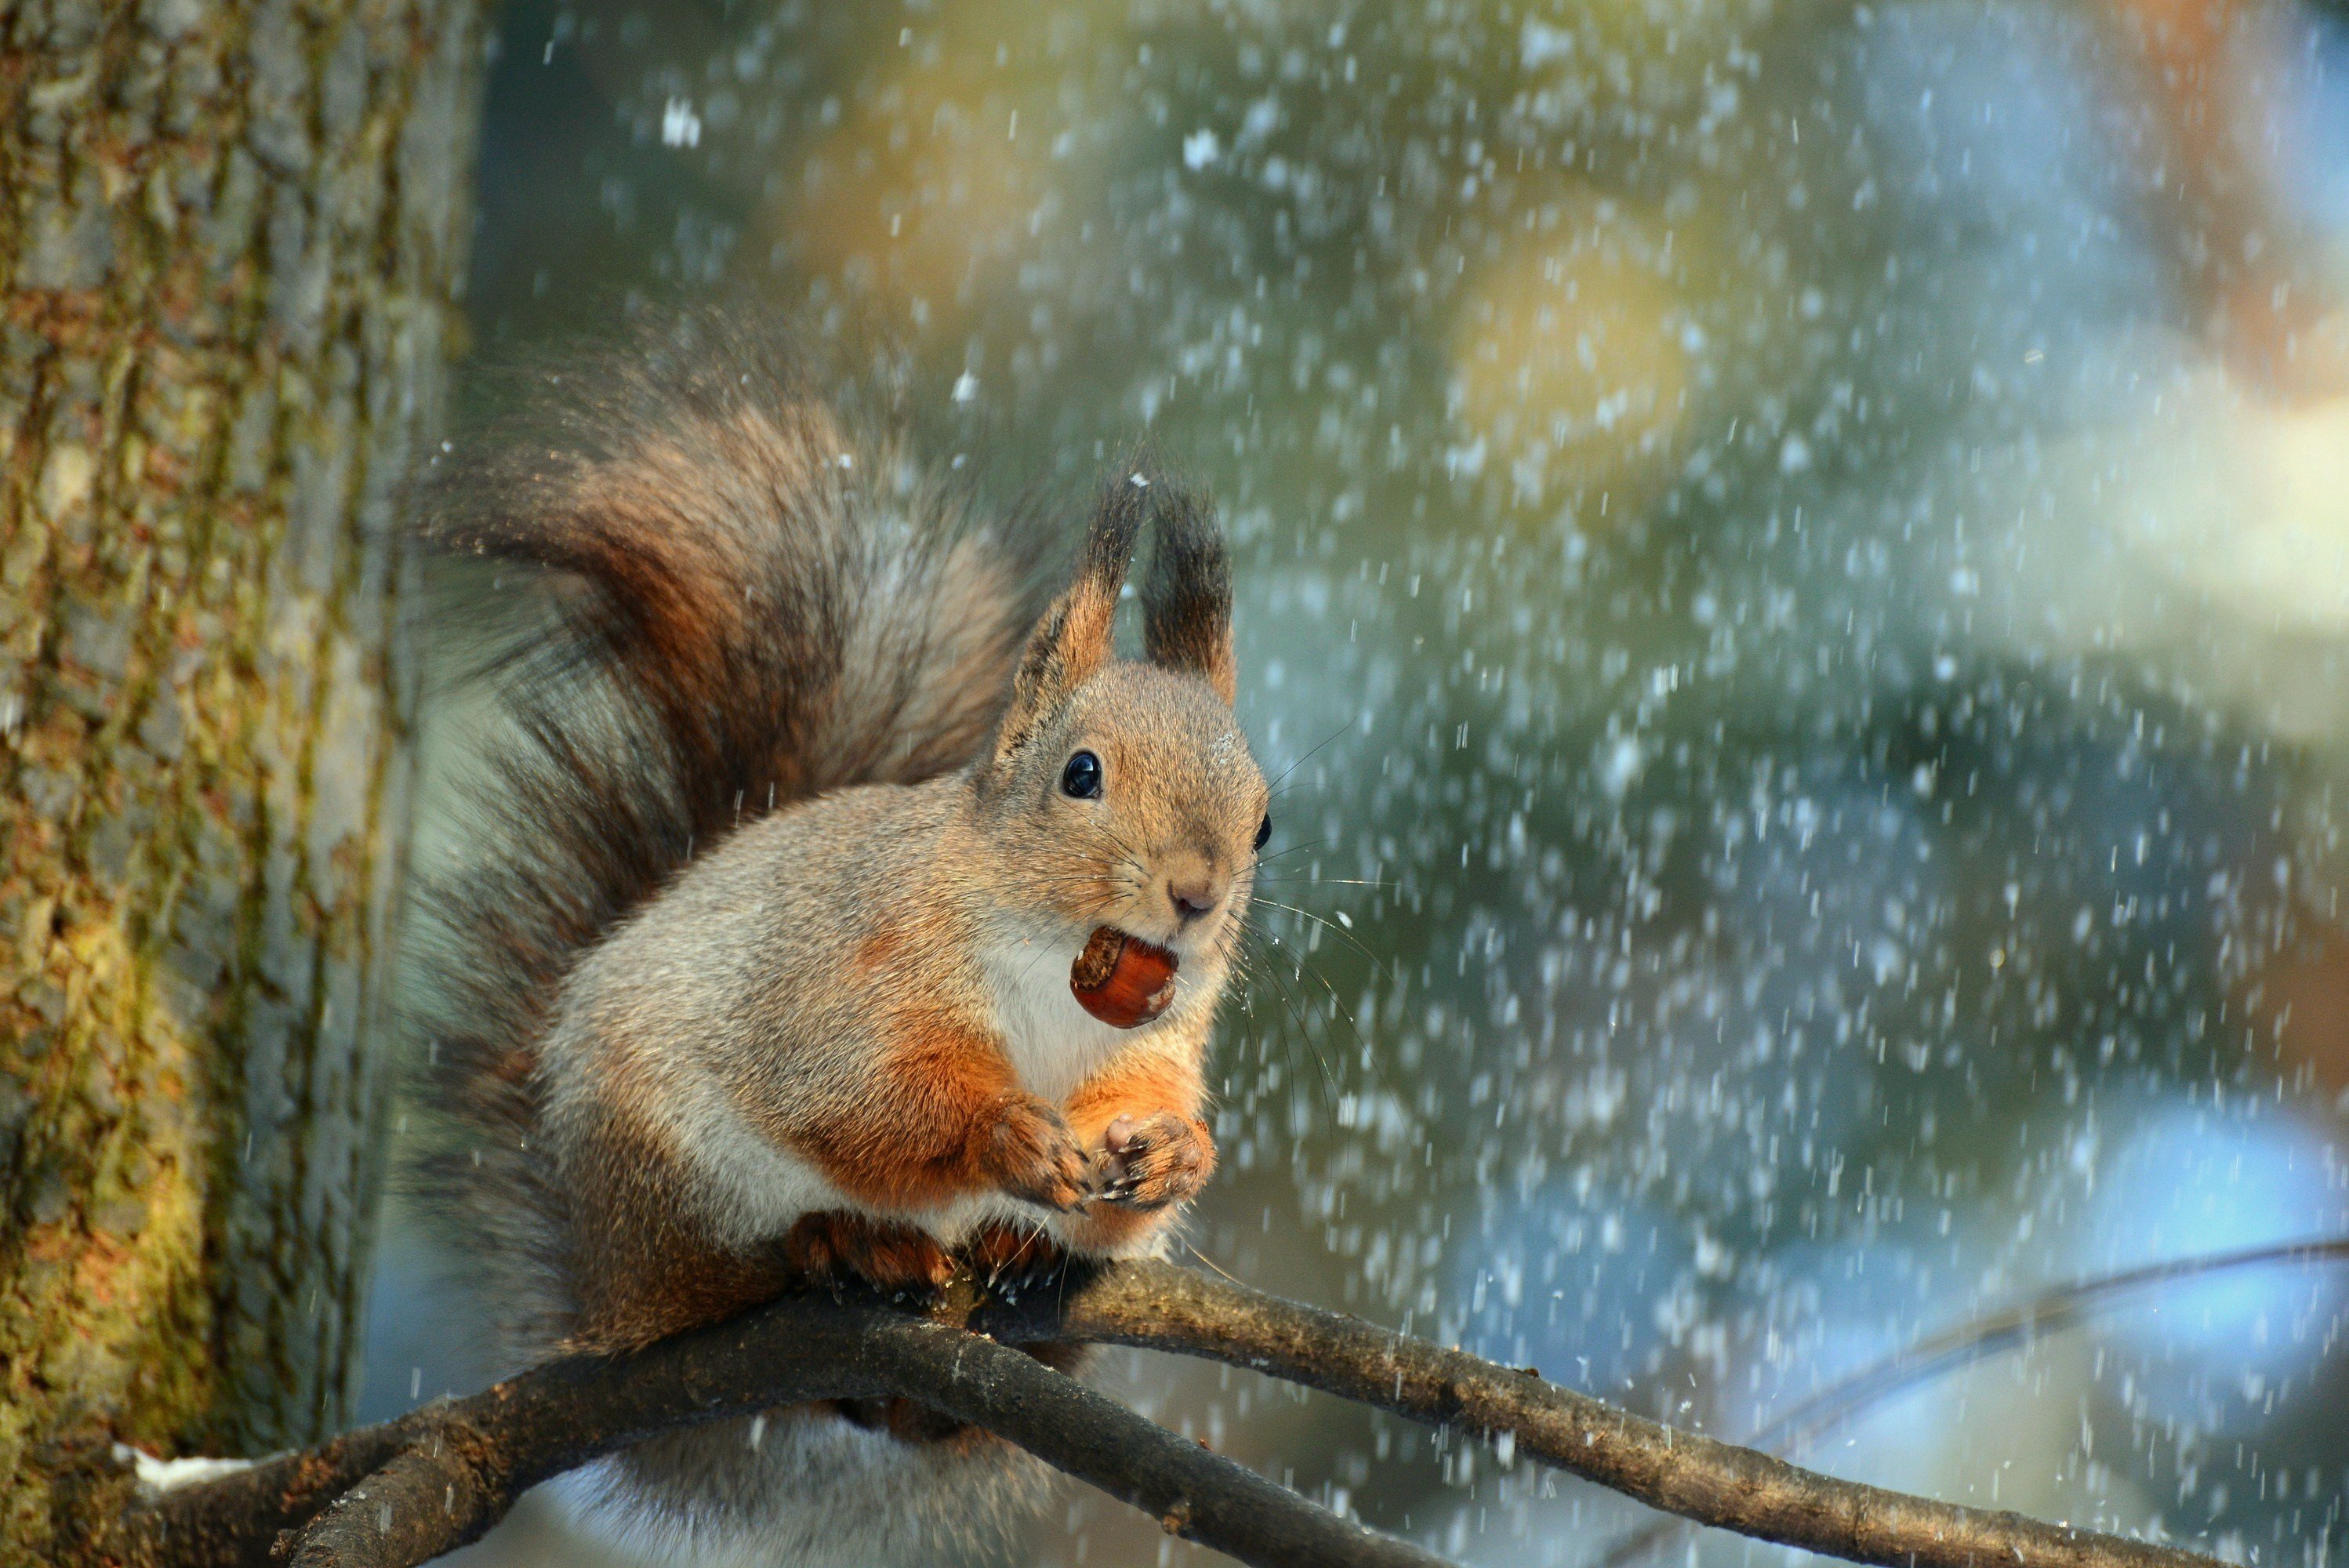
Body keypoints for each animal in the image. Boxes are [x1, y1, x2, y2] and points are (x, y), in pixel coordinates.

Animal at [413, 321, 1277, 1567]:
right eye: (1081, 774)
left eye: (1265, 822)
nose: (1197, 895)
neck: (1054, 981)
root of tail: (602, 1294)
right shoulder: (846, 983)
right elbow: (860, 1101)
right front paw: (1004, 1136)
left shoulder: (1161, 1036)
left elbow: (1147, 1119)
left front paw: (1172, 1150)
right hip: (672, 1188)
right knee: (733, 1272)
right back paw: (843, 1245)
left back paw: (1014, 1264)